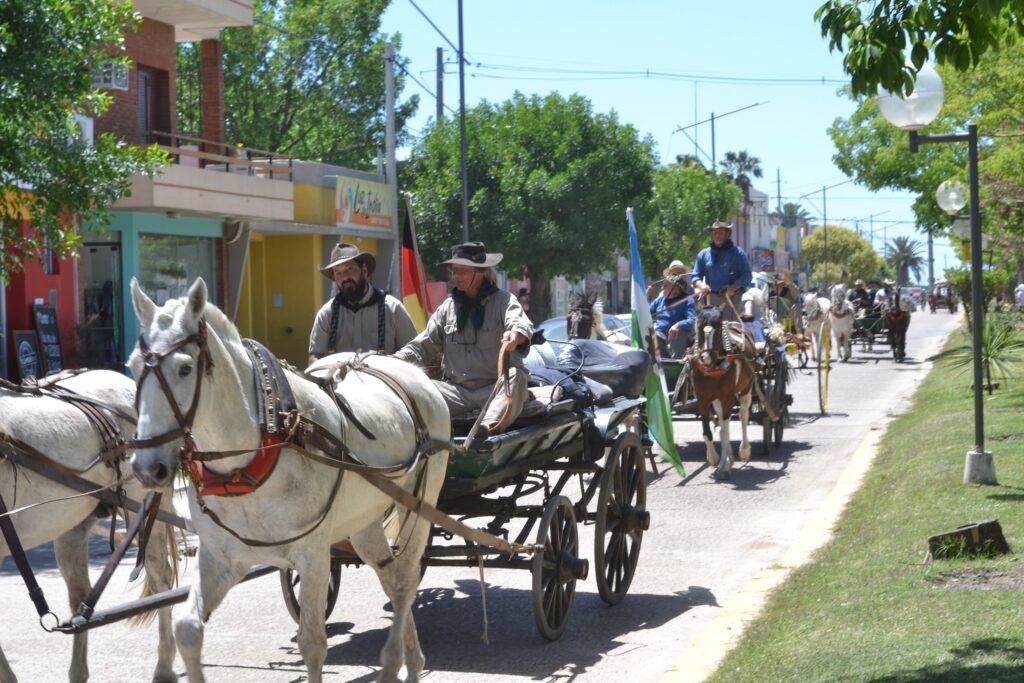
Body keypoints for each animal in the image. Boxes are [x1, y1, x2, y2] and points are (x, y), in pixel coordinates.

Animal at [1, 370, 178, 679]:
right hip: (72, 524)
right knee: (80, 599)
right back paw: (78, 671)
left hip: (147, 508)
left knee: (161, 580)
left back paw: (164, 666)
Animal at [128, 278, 448, 683]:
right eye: (132, 366)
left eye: (185, 369)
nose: (146, 468)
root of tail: (416, 374)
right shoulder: (221, 556)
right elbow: (187, 628)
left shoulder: (313, 555)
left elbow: (312, 642)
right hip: (364, 520)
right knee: (391, 577)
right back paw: (410, 660)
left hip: (420, 505)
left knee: (405, 581)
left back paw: (393, 660)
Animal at [692, 307, 757, 479]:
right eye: (699, 328)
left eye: (719, 329)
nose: (705, 357)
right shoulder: (703, 399)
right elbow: (708, 432)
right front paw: (714, 458)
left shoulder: (727, 397)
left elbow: (724, 432)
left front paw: (723, 467)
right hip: (717, 400)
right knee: (722, 419)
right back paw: (729, 458)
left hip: (747, 388)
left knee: (743, 416)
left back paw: (744, 450)